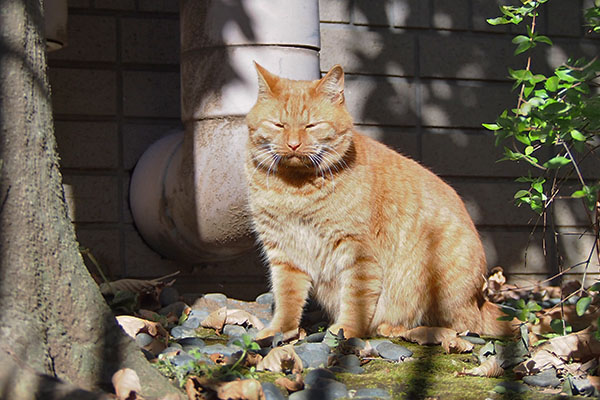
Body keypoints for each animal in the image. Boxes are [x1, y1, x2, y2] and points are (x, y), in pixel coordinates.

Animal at [244, 64, 510, 340]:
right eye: (278, 125)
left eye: (311, 126)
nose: (293, 144)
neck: (295, 189)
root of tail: (480, 301)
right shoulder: (284, 253)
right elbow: (287, 299)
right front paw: (278, 332)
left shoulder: (358, 253)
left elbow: (356, 299)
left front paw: (347, 330)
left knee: (460, 327)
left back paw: (396, 328)